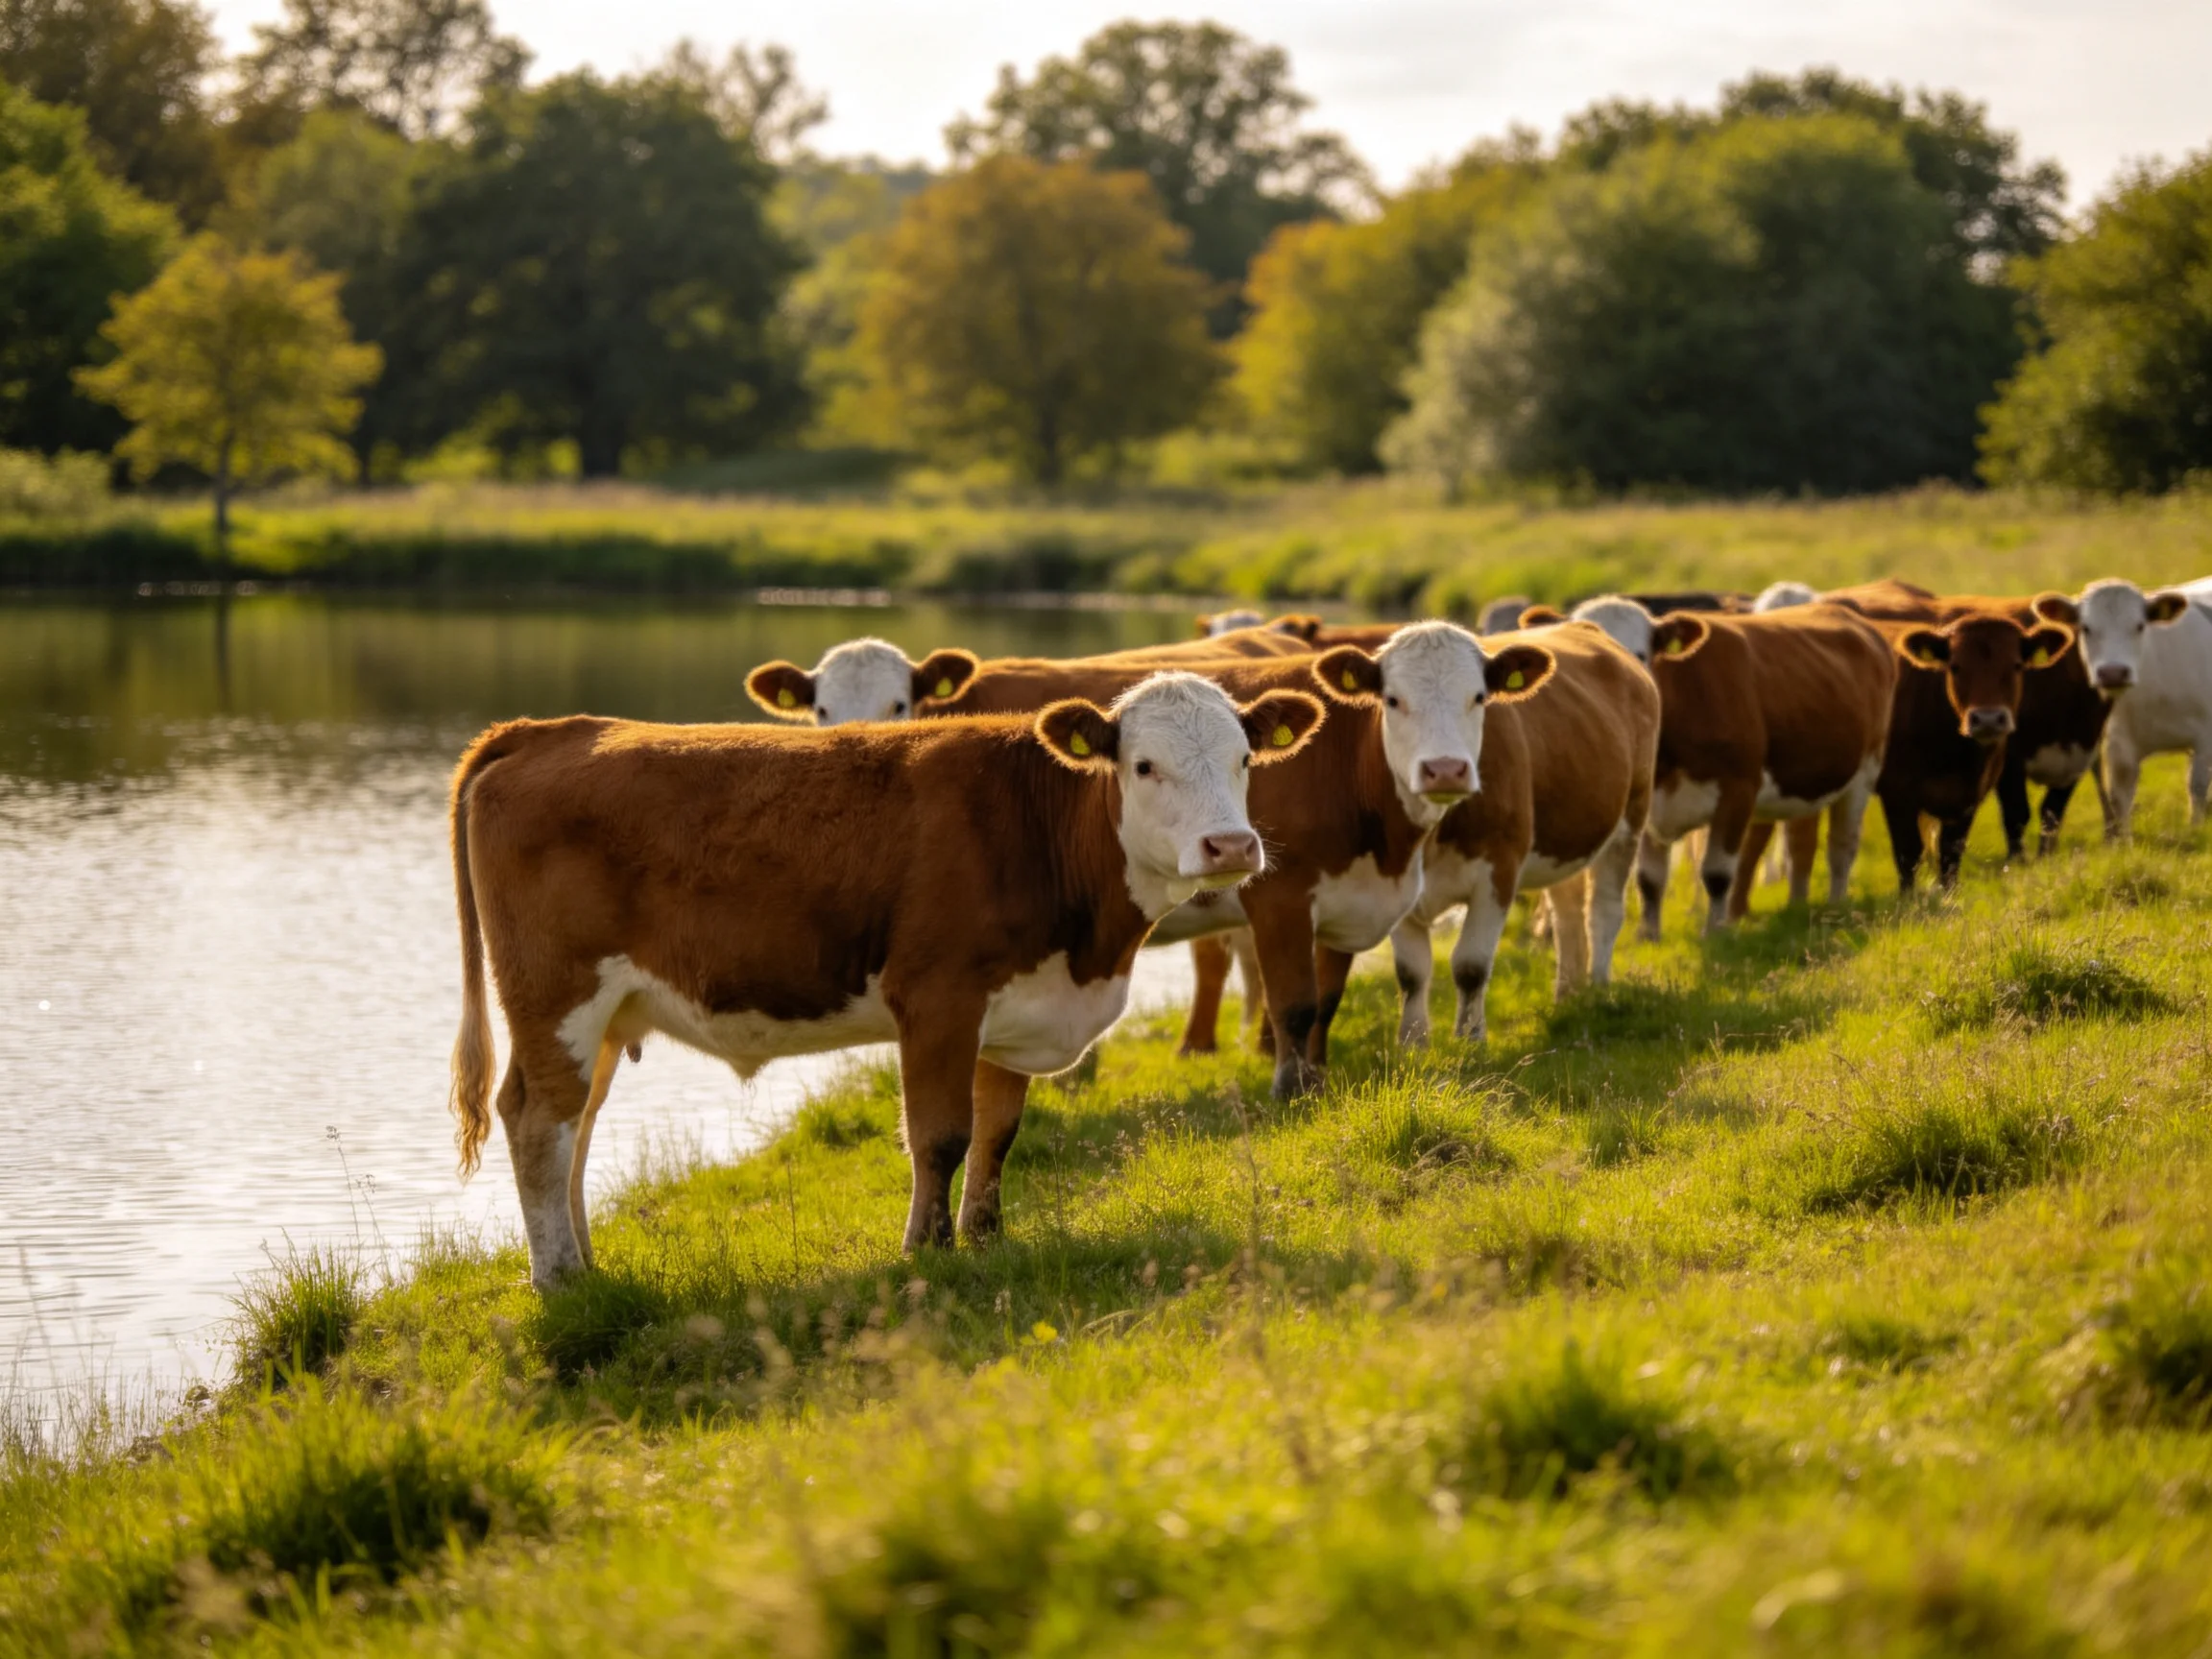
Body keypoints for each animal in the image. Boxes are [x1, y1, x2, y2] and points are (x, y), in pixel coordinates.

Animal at [447, 671, 1327, 1287]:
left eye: (1245, 759)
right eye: (1144, 766)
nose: (1231, 846)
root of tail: (546, 730)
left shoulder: (1014, 1006)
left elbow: (998, 1130)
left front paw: (986, 1238)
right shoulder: (936, 999)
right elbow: (939, 1136)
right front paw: (927, 1251)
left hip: (603, 1011)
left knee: (580, 1121)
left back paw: (588, 1267)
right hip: (554, 994)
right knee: (538, 1117)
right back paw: (559, 1280)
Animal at [1389, 620, 1659, 1044]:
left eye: (1479, 697)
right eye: (1392, 700)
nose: (1445, 769)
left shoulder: (1498, 872)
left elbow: (1470, 965)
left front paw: (1470, 1041)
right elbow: (1411, 974)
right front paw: (1412, 1045)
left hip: (1628, 824)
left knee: (1603, 912)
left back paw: (1598, 989)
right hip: (1565, 839)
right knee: (1567, 915)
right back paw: (1569, 994)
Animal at [1557, 596, 1894, 935]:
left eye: (1639, 654)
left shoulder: (1738, 790)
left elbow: (1717, 874)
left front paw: (1715, 932)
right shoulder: (1648, 804)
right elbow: (1649, 880)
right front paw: (1649, 936)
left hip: (1864, 773)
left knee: (1841, 846)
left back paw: (1836, 903)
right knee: (1801, 842)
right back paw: (1798, 905)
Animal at [1824, 580, 2075, 890]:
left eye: (2016, 665)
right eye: (1955, 667)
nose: (1988, 719)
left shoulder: (1967, 799)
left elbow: (1950, 856)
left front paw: (1947, 894)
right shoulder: (1897, 793)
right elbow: (1908, 854)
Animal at [2032, 579, 2211, 838]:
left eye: (2139, 625)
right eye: (2086, 628)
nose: (2113, 672)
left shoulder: (2205, 737)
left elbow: (2197, 787)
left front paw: (2195, 830)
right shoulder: (2118, 743)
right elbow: (2119, 796)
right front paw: (2124, 842)